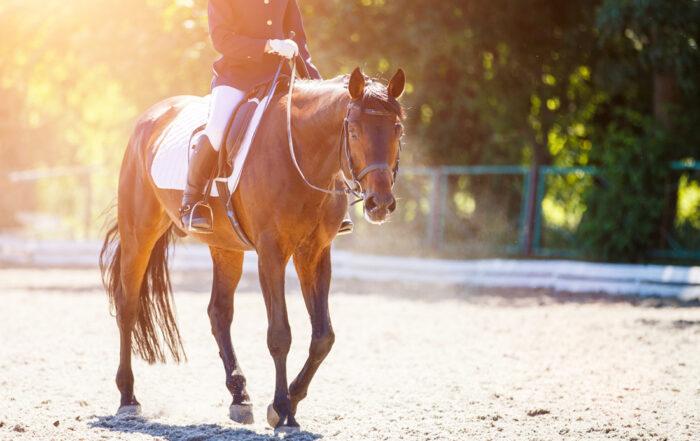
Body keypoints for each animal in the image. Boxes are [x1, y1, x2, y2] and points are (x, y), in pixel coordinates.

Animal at [99, 67, 406, 432]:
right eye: (355, 131)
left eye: (398, 130)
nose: (380, 203)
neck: (302, 152)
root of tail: (151, 117)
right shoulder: (271, 252)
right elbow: (280, 334)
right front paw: (282, 410)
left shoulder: (315, 253)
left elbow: (323, 336)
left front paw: (290, 403)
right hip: (139, 234)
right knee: (127, 306)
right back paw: (128, 398)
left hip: (225, 246)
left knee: (219, 313)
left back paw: (239, 397)